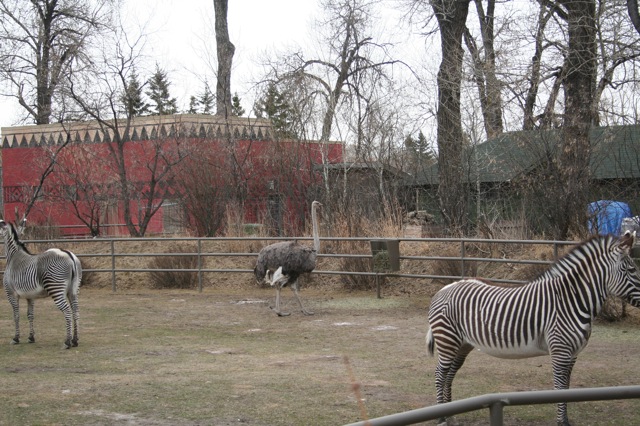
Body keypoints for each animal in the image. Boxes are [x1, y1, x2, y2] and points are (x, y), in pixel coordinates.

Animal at [0, 220, 82, 349]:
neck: (13, 257)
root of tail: (69, 255)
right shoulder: (30, 296)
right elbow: (30, 315)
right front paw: (31, 337)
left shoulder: (11, 294)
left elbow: (16, 316)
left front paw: (16, 338)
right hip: (73, 290)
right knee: (76, 311)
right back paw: (75, 340)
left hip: (56, 288)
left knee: (68, 312)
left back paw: (67, 342)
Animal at [426, 231, 640, 426]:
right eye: (631, 269)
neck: (571, 300)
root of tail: (445, 288)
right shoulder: (560, 351)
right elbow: (560, 388)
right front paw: (562, 422)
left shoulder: (573, 354)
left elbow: (568, 388)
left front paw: (565, 420)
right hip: (447, 340)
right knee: (440, 374)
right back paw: (441, 417)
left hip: (462, 345)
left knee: (449, 374)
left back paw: (450, 414)